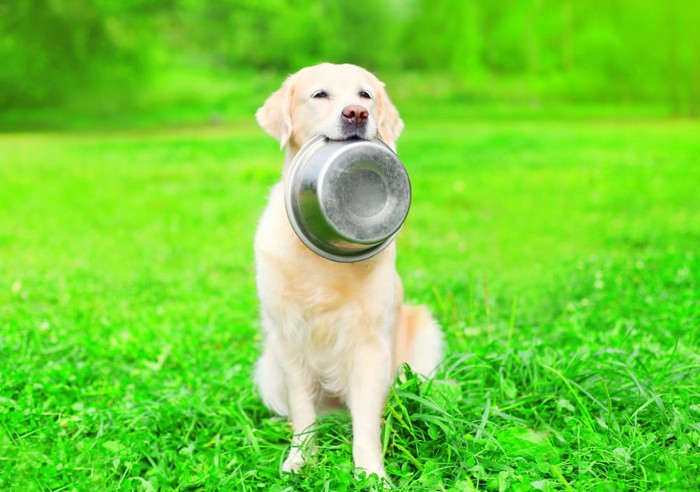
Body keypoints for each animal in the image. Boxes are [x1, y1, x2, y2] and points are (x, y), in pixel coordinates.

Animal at [254, 63, 442, 478]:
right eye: (320, 94)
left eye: (365, 95)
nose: (357, 113)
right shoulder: (289, 338)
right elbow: (303, 412)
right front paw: (300, 458)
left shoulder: (370, 343)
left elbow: (367, 424)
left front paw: (372, 473)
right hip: (268, 367)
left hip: (424, 334)